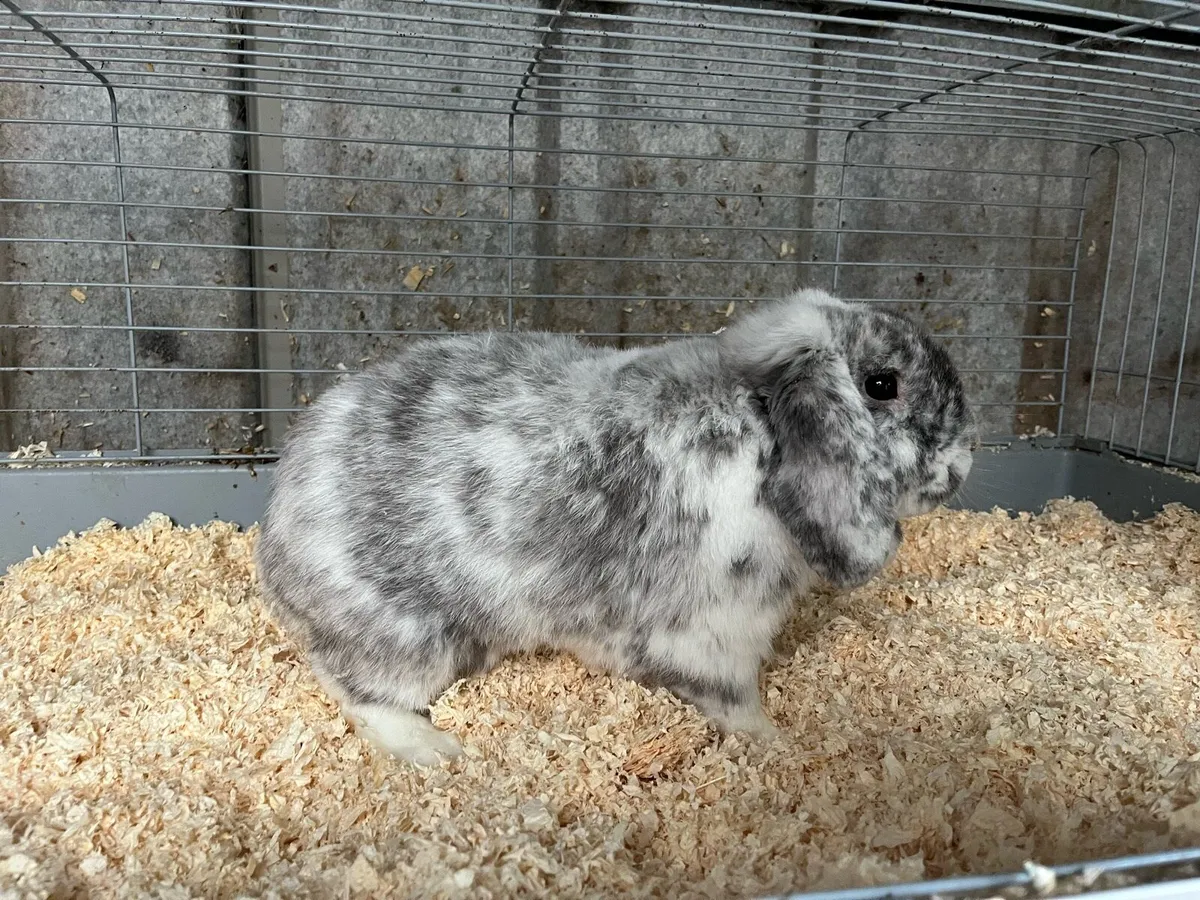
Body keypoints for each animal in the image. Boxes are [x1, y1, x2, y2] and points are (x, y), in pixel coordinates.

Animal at [255, 287, 974, 766]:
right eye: (881, 384)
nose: (966, 461)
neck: (757, 426)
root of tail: (275, 555)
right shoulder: (716, 637)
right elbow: (736, 704)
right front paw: (778, 743)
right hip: (410, 637)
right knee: (356, 691)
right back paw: (436, 749)